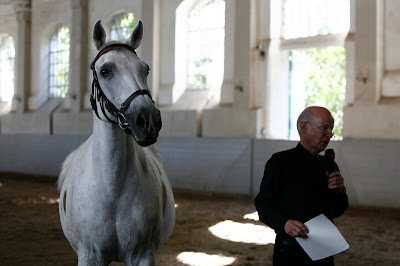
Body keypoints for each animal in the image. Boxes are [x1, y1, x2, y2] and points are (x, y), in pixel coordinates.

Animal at [57, 20, 175, 266]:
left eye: (145, 69)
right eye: (105, 71)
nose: (148, 120)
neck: (112, 188)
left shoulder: (143, 255)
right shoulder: (89, 256)